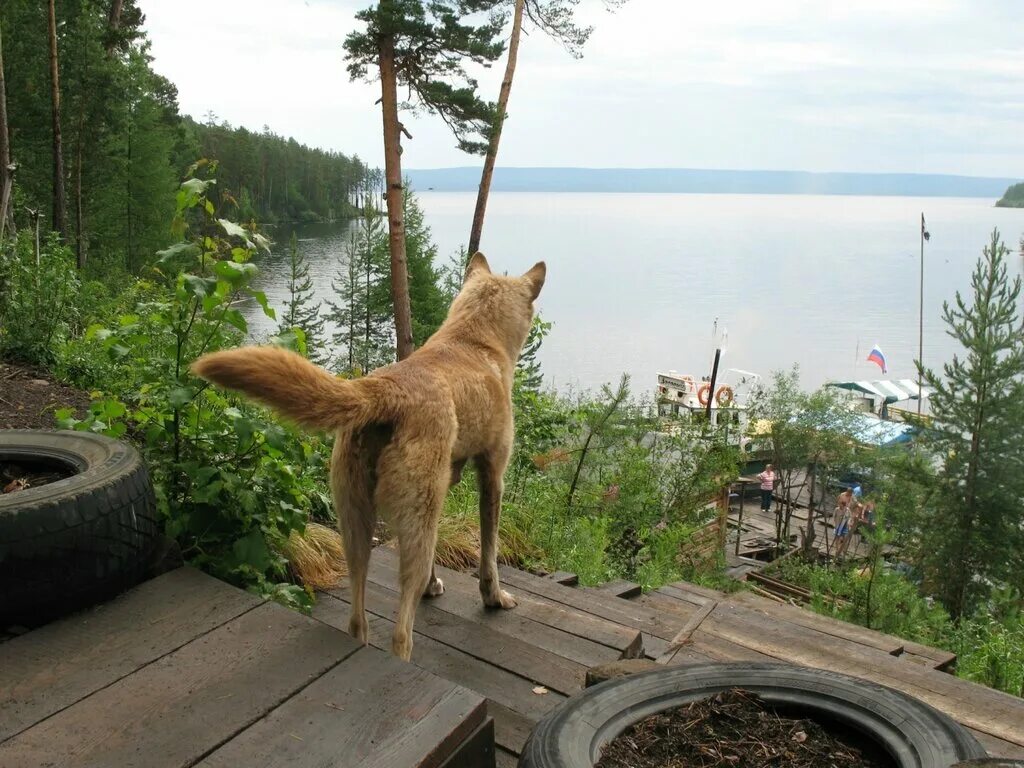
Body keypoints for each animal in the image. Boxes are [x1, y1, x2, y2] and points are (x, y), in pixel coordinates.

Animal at [192, 253, 544, 663]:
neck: (474, 339)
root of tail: (384, 390)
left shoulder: (447, 479)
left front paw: (435, 584)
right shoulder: (491, 474)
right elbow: (489, 551)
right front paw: (494, 597)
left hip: (353, 519)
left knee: (357, 617)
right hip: (408, 517)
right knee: (400, 631)